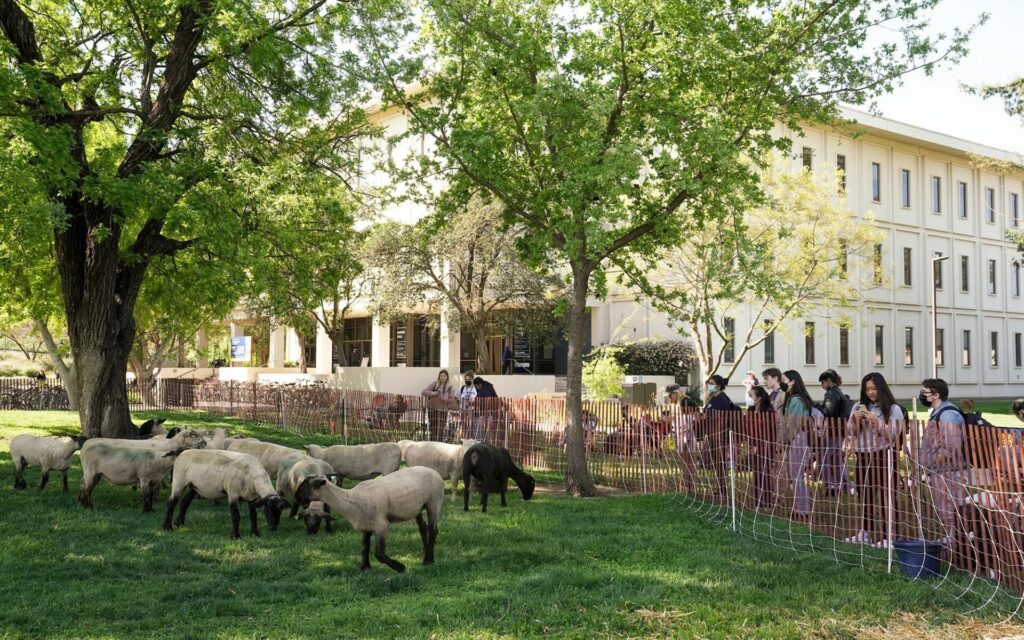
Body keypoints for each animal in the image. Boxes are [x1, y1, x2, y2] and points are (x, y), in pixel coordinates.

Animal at [160, 448, 288, 540]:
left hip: (193, 486)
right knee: (171, 503)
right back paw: (167, 527)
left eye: (281, 511)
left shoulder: (252, 498)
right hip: (179, 481)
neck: (253, 476)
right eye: (268, 509)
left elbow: (253, 516)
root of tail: (182, 452)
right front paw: (235, 536)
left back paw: (179, 523)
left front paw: (255, 534)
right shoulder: (233, 494)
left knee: (184, 503)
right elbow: (236, 516)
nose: (273, 527)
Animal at [299, 464, 444, 573]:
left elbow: (379, 554)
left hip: (434, 503)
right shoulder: (366, 524)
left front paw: (400, 567)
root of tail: (434, 471)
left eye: (306, 485)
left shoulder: (381, 525)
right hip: (417, 508)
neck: (351, 500)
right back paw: (425, 554)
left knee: (433, 530)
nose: (296, 498)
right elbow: (364, 546)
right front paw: (365, 567)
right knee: (423, 528)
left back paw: (428, 561)